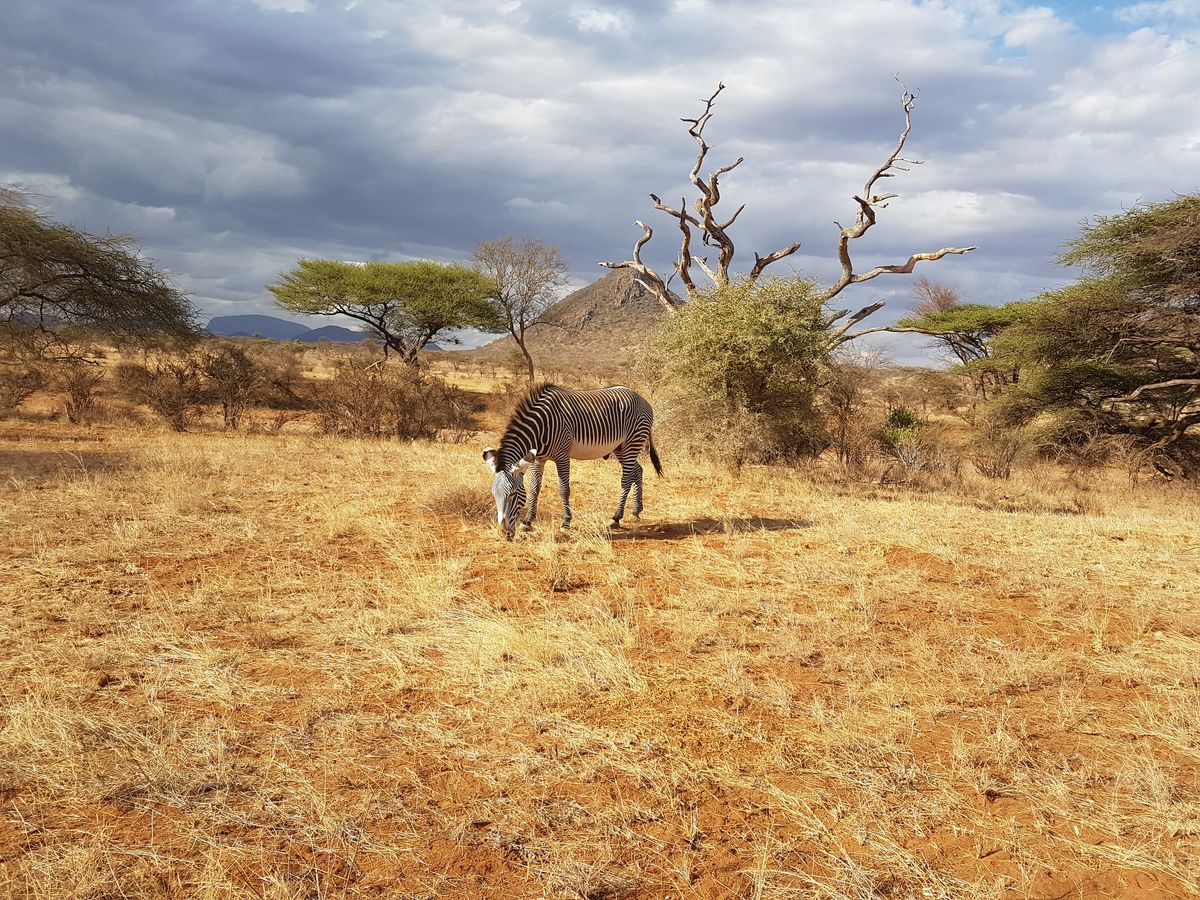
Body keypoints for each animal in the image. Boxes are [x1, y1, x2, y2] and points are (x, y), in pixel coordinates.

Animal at [483, 383, 662, 540]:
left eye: (513, 495)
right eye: (494, 494)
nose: (504, 533)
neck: (542, 426)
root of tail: (641, 398)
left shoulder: (562, 456)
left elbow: (564, 489)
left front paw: (566, 523)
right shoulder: (537, 459)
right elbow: (534, 488)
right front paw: (527, 521)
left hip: (633, 441)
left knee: (626, 479)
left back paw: (616, 517)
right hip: (621, 447)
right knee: (637, 470)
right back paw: (636, 510)